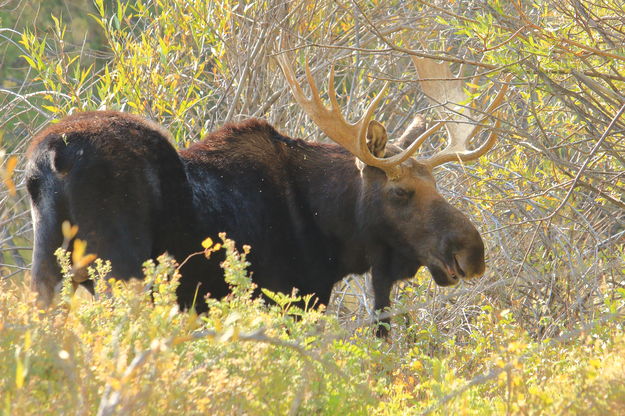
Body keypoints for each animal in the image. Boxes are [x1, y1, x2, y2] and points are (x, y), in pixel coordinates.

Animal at [26, 54, 510, 334]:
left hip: (47, 269)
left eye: (436, 185)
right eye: (401, 192)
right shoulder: (289, 300)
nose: (472, 250)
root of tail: (48, 159)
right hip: (122, 271)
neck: (332, 230)